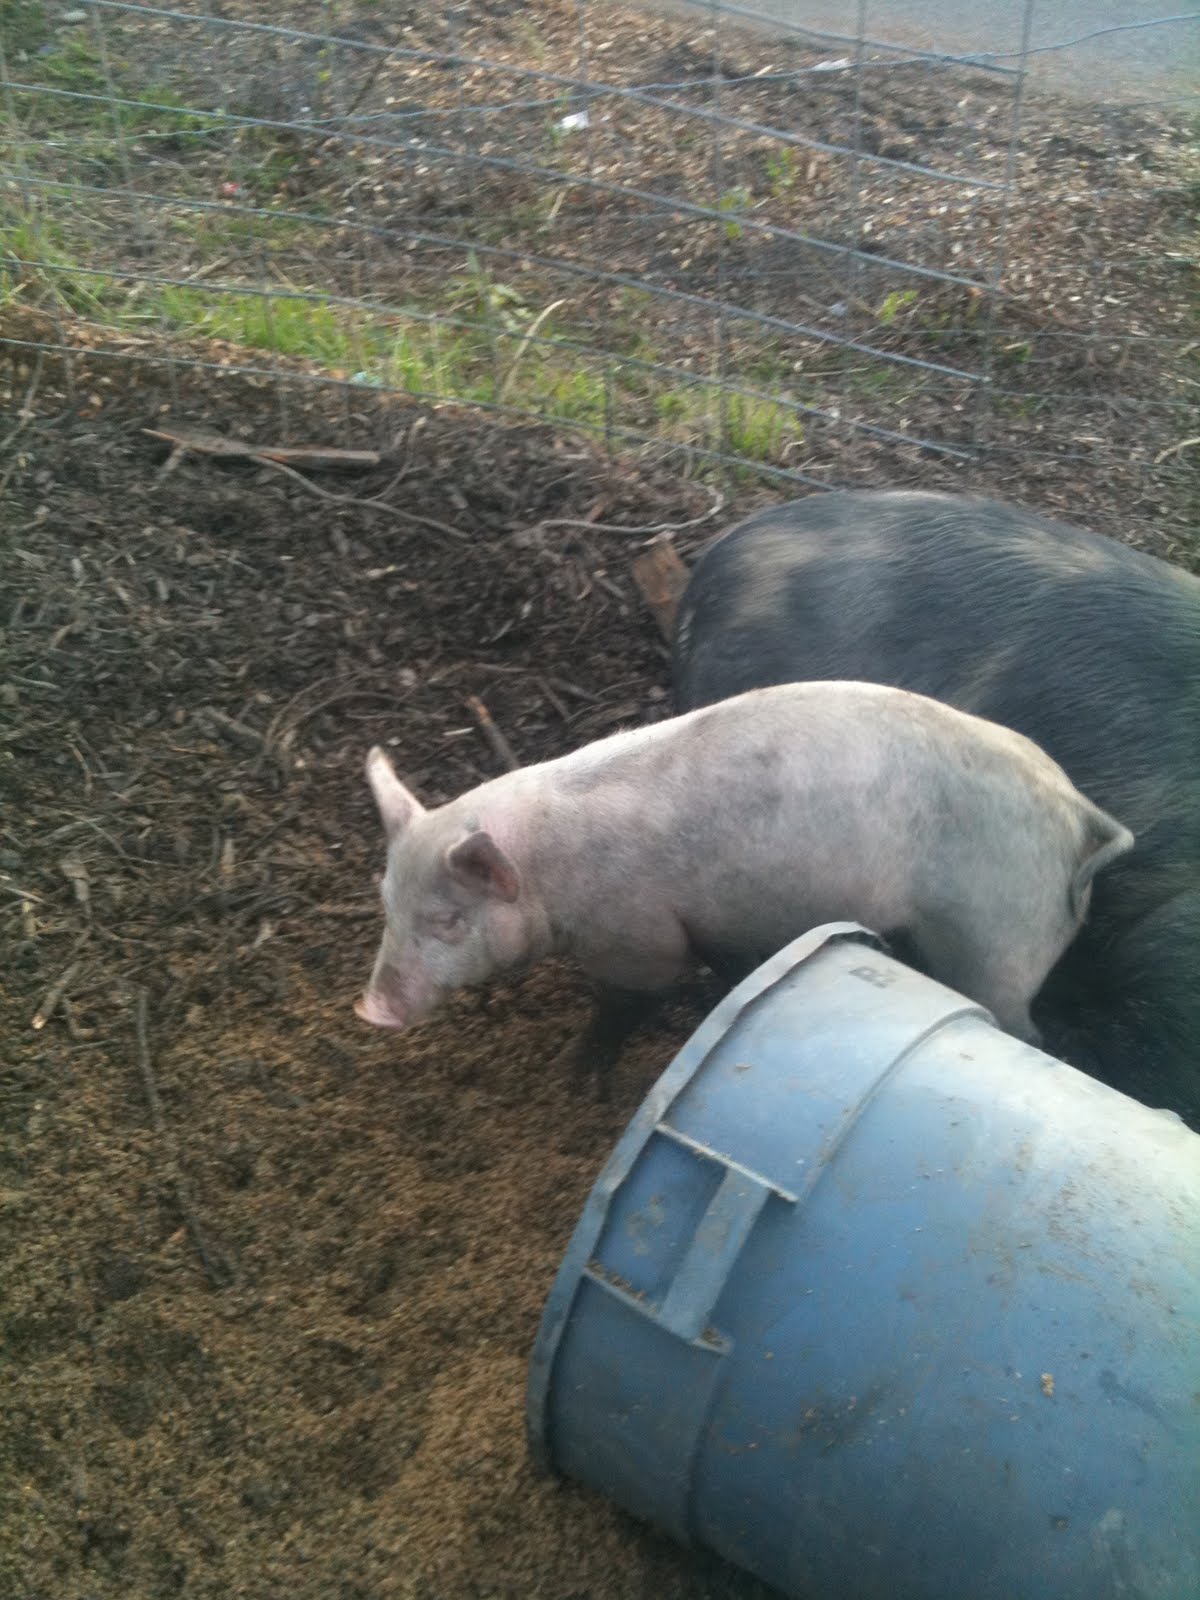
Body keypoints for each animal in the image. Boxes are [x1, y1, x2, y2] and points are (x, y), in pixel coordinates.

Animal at [356, 681, 1133, 1065]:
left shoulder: (637, 937)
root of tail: (1083, 819)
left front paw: (571, 1069)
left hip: (998, 940)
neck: (550, 872)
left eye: (447, 920)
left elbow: (626, 1001)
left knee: (1022, 1027)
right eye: (385, 903)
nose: (371, 1009)